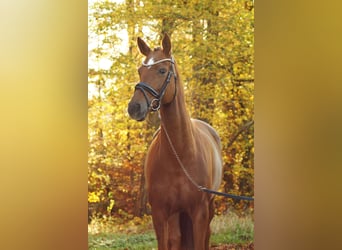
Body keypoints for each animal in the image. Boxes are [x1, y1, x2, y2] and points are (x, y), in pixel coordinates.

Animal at [127, 33, 222, 250]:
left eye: (162, 70)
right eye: (140, 71)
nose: (134, 108)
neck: (180, 155)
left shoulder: (199, 213)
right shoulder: (160, 213)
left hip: (208, 208)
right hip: (175, 214)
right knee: (176, 238)